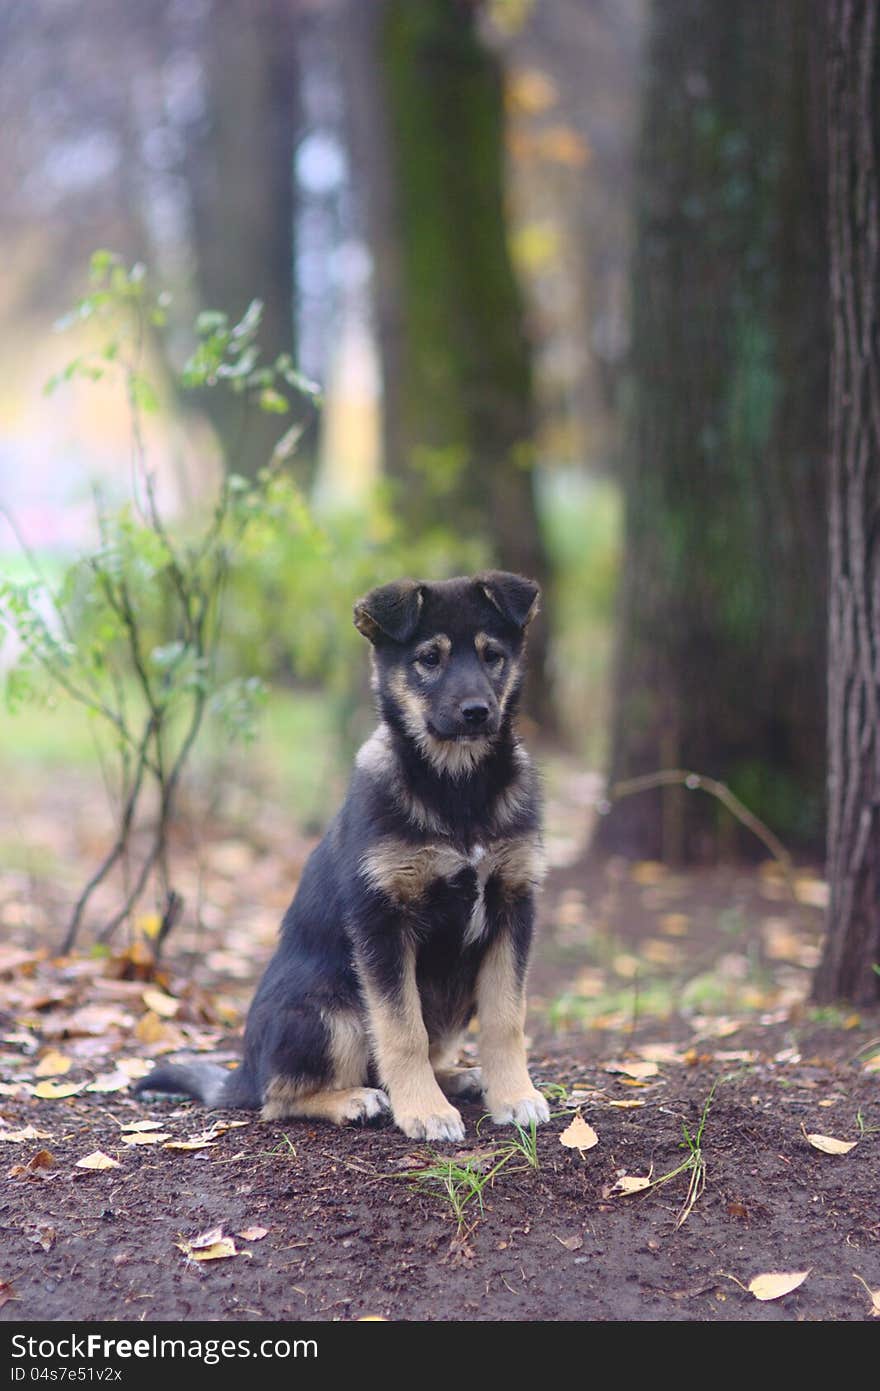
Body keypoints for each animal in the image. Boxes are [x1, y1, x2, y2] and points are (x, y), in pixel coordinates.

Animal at [132, 567, 544, 1140]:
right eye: (429, 658)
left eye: (492, 655)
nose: (477, 713)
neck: (457, 790)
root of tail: (244, 1069)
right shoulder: (382, 921)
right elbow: (402, 1029)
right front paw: (424, 1110)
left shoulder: (513, 904)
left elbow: (507, 1018)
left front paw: (515, 1096)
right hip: (333, 1008)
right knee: (277, 1098)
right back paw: (356, 1099)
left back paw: (459, 1079)